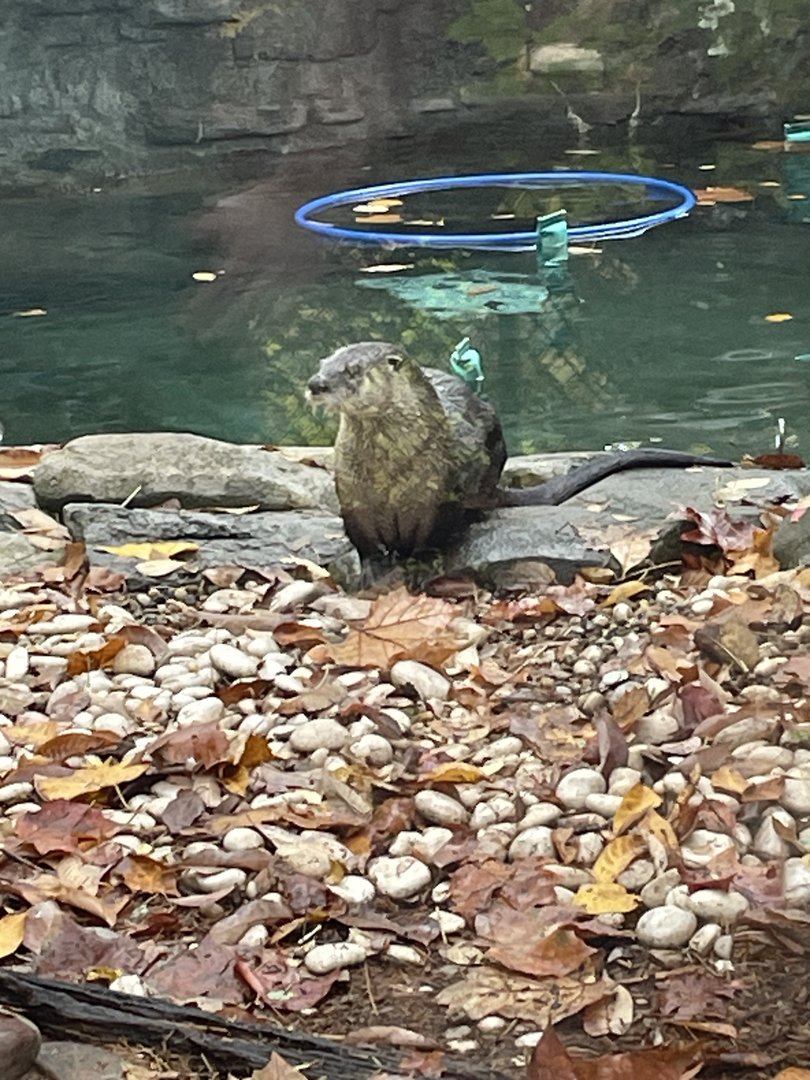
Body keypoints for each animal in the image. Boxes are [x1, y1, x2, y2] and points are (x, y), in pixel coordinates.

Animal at [307, 342, 731, 559]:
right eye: (323, 363)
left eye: (353, 371)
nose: (316, 384)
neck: (389, 476)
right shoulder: (352, 497)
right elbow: (361, 539)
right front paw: (374, 565)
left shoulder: (441, 497)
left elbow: (433, 535)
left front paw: (418, 561)